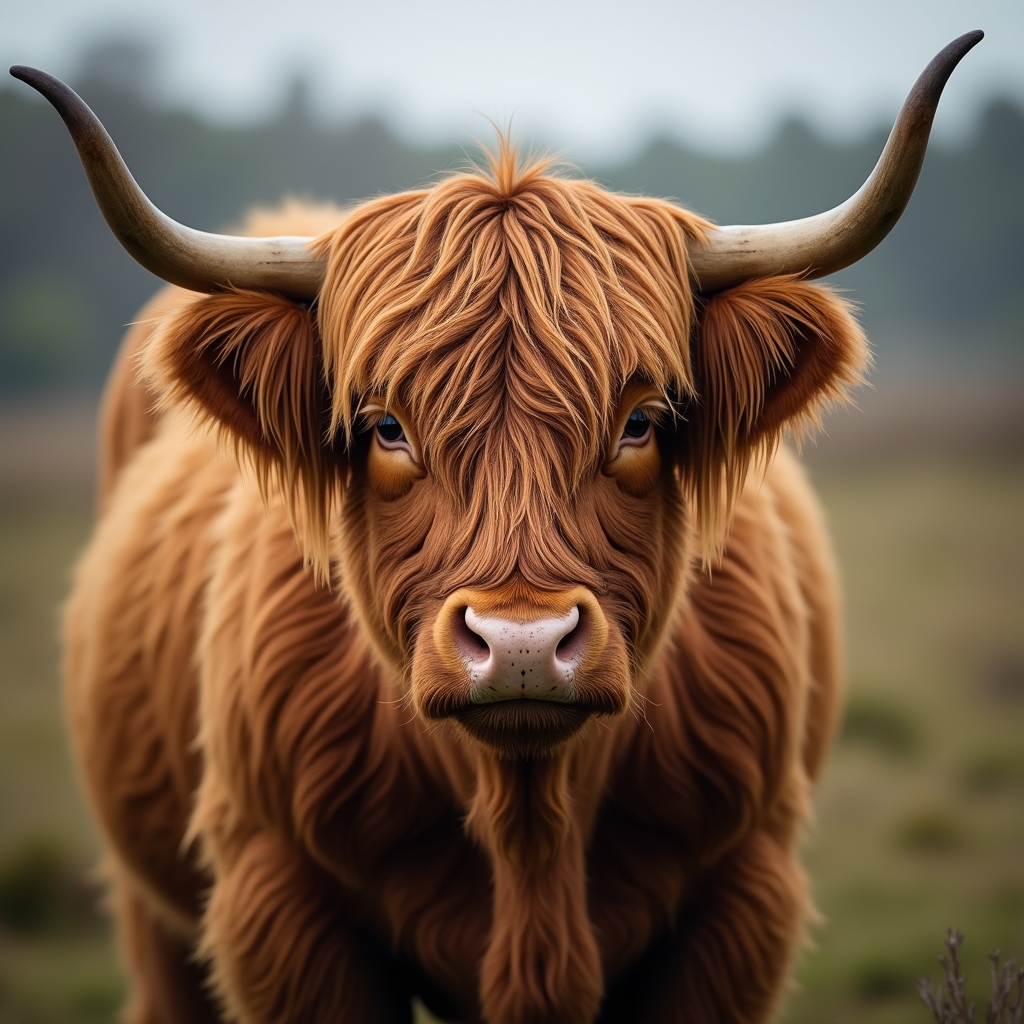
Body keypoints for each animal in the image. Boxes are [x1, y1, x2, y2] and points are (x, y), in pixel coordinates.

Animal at [13, 31, 980, 1024]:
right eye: (385, 427)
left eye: (640, 421)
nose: (522, 643)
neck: (529, 819)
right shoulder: (279, 902)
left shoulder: (742, 896)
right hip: (153, 904)